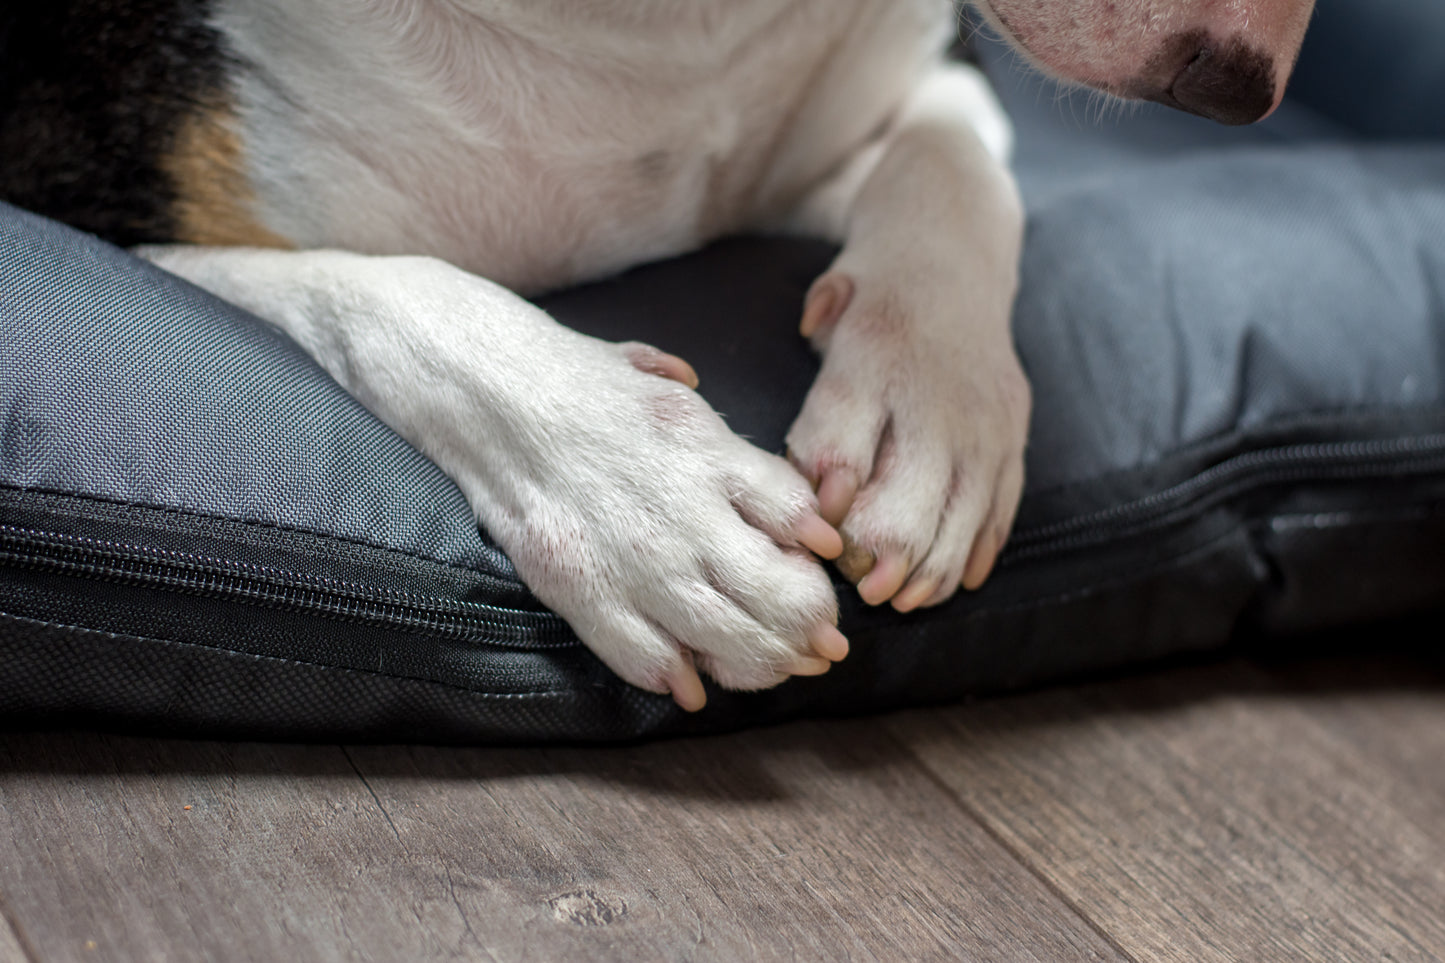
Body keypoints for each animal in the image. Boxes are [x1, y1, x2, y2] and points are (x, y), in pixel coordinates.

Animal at [0, 0, 1312, 705]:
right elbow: (382, 292)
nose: (1237, 83)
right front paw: (650, 509)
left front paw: (931, 424)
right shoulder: (84, 190)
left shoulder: (926, 71)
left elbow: (951, 168)